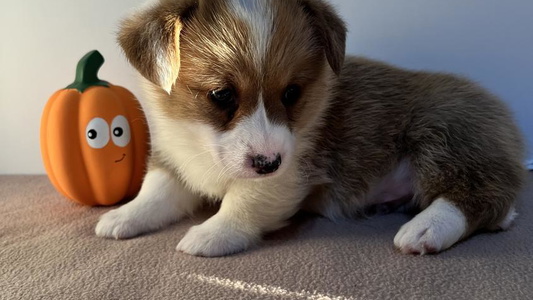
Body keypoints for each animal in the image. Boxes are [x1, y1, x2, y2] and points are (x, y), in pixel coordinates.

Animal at [94, 0, 524, 258]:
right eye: (221, 94)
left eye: (292, 93)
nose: (267, 163)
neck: (200, 141)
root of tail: (505, 119)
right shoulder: (175, 158)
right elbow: (156, 192)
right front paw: (123, 216)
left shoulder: (287, 175)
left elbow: (242, 201)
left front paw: (210, 234)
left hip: (444, 134)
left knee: (480, 194)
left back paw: (424, 230)